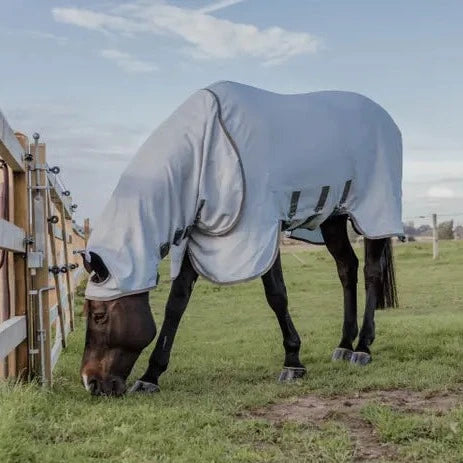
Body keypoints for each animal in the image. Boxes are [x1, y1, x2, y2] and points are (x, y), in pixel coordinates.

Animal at [80, 81, 402, 396]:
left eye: (99, 316)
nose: (91, 382)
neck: (206, 148)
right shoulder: (199, 235)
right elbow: (176, 304)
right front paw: (150, 376)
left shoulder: (260, 231)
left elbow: (277, 296)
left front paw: (293, 362)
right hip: (334, 218)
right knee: (347, 268)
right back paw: (344, 345)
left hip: (374, 213)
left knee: (371, 272)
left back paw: (363, 348)